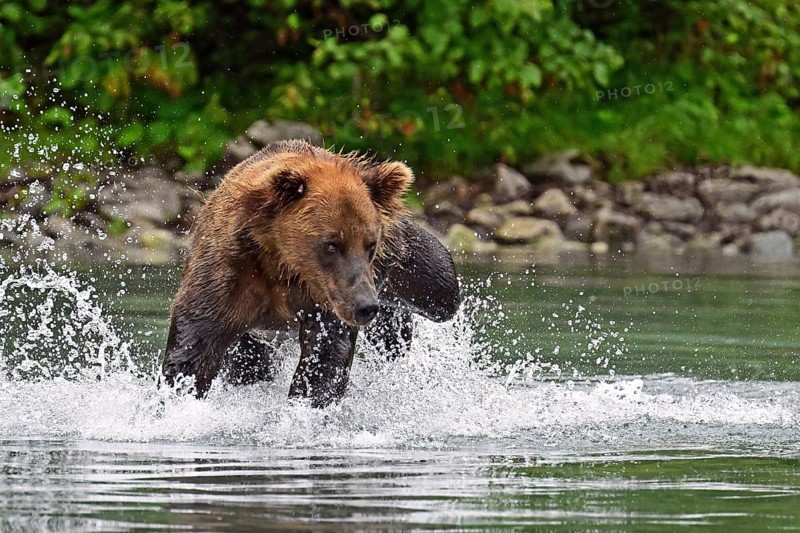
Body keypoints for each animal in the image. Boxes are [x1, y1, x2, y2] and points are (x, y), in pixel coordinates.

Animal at [161, 139, 460, 407]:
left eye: (370, 244)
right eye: (332, 244)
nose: (366, 306)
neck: (284, 263)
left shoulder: (326, 295)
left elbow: (326, 352)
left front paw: (306, 403)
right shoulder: (230, 272)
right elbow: (195, 345)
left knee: (441, 290)